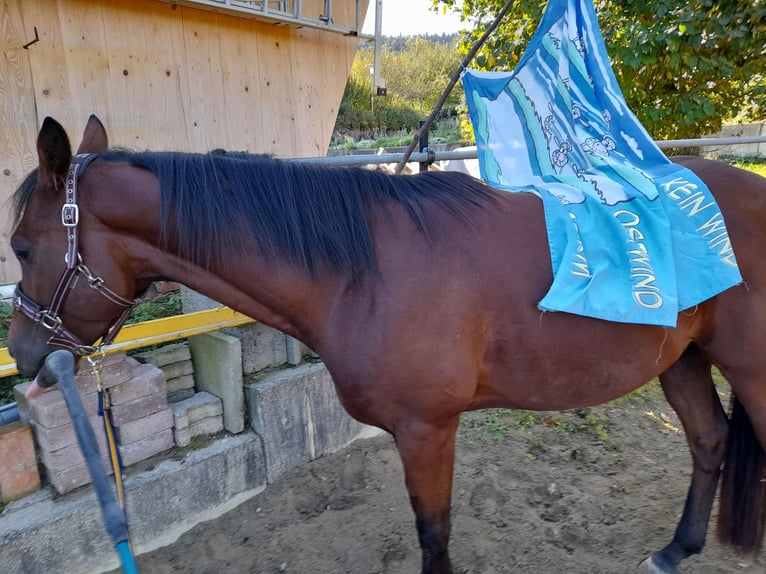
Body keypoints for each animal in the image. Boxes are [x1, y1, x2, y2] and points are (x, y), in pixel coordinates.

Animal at [6, 115, 766, 572]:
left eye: (19, 247)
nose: (28, 357)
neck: (364, 269)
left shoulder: (428, 429)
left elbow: (434, 531)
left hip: (748, 368)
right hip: (683, 359)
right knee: (710, 442)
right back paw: (678, 548)